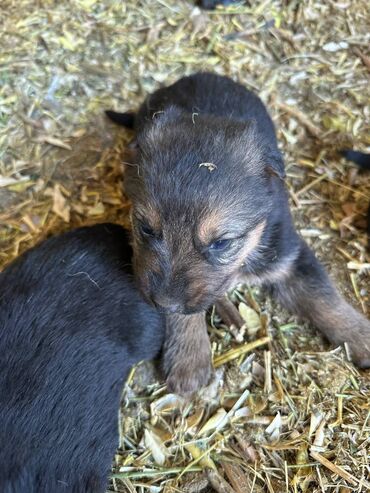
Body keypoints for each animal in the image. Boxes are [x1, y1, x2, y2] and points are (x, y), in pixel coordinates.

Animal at [105, 73, 370, 394]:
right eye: (145, 228)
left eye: (222, 243)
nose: (162, 302)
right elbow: (184, 312)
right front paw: (189, 357)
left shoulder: (289, 255)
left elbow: (324, 297)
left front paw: (361, 336)